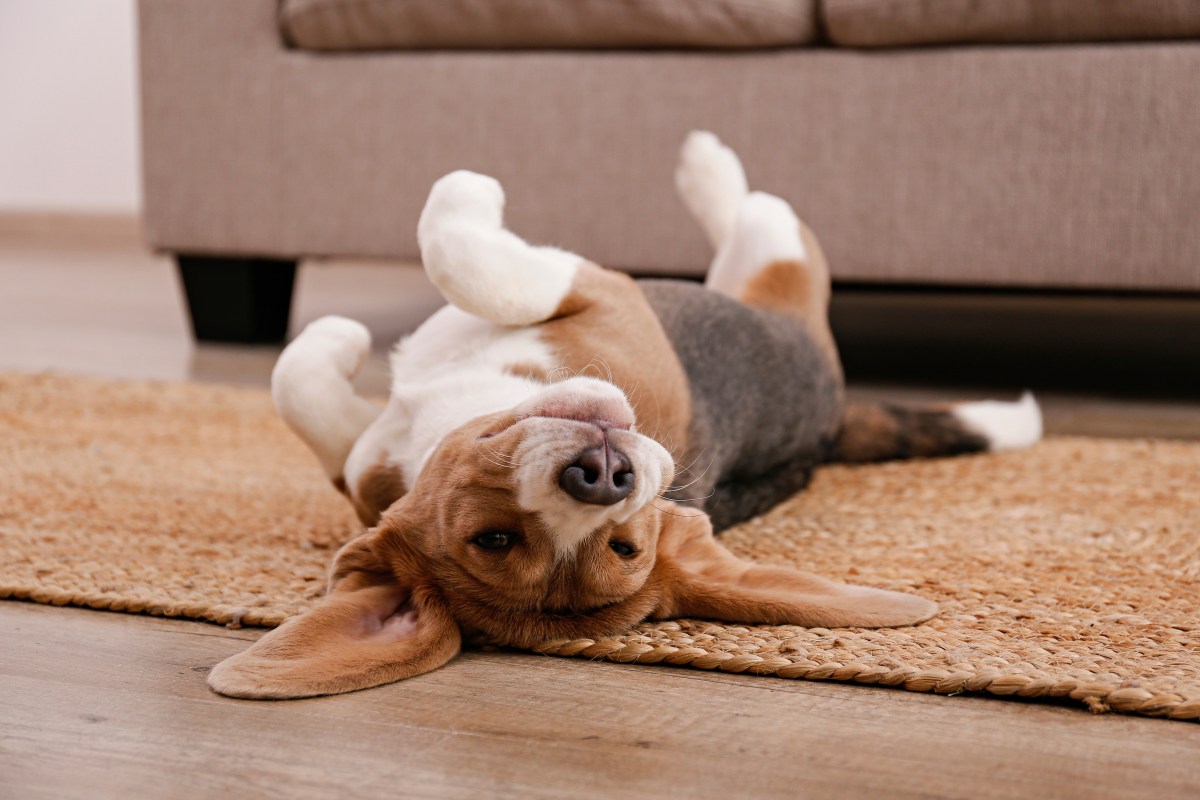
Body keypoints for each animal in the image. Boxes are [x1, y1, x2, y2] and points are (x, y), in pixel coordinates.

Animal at [208, 133, 1041, 700]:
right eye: (495, 540)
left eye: (625, 546)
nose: (604, 474)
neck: (461, 409)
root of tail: (828, 423)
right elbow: (301, 387)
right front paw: (342, 346)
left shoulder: (601, 288)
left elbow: (457, 253)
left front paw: (461, 204)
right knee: (758, 213)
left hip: (775, 269)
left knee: (761, 209)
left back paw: (706, 166)